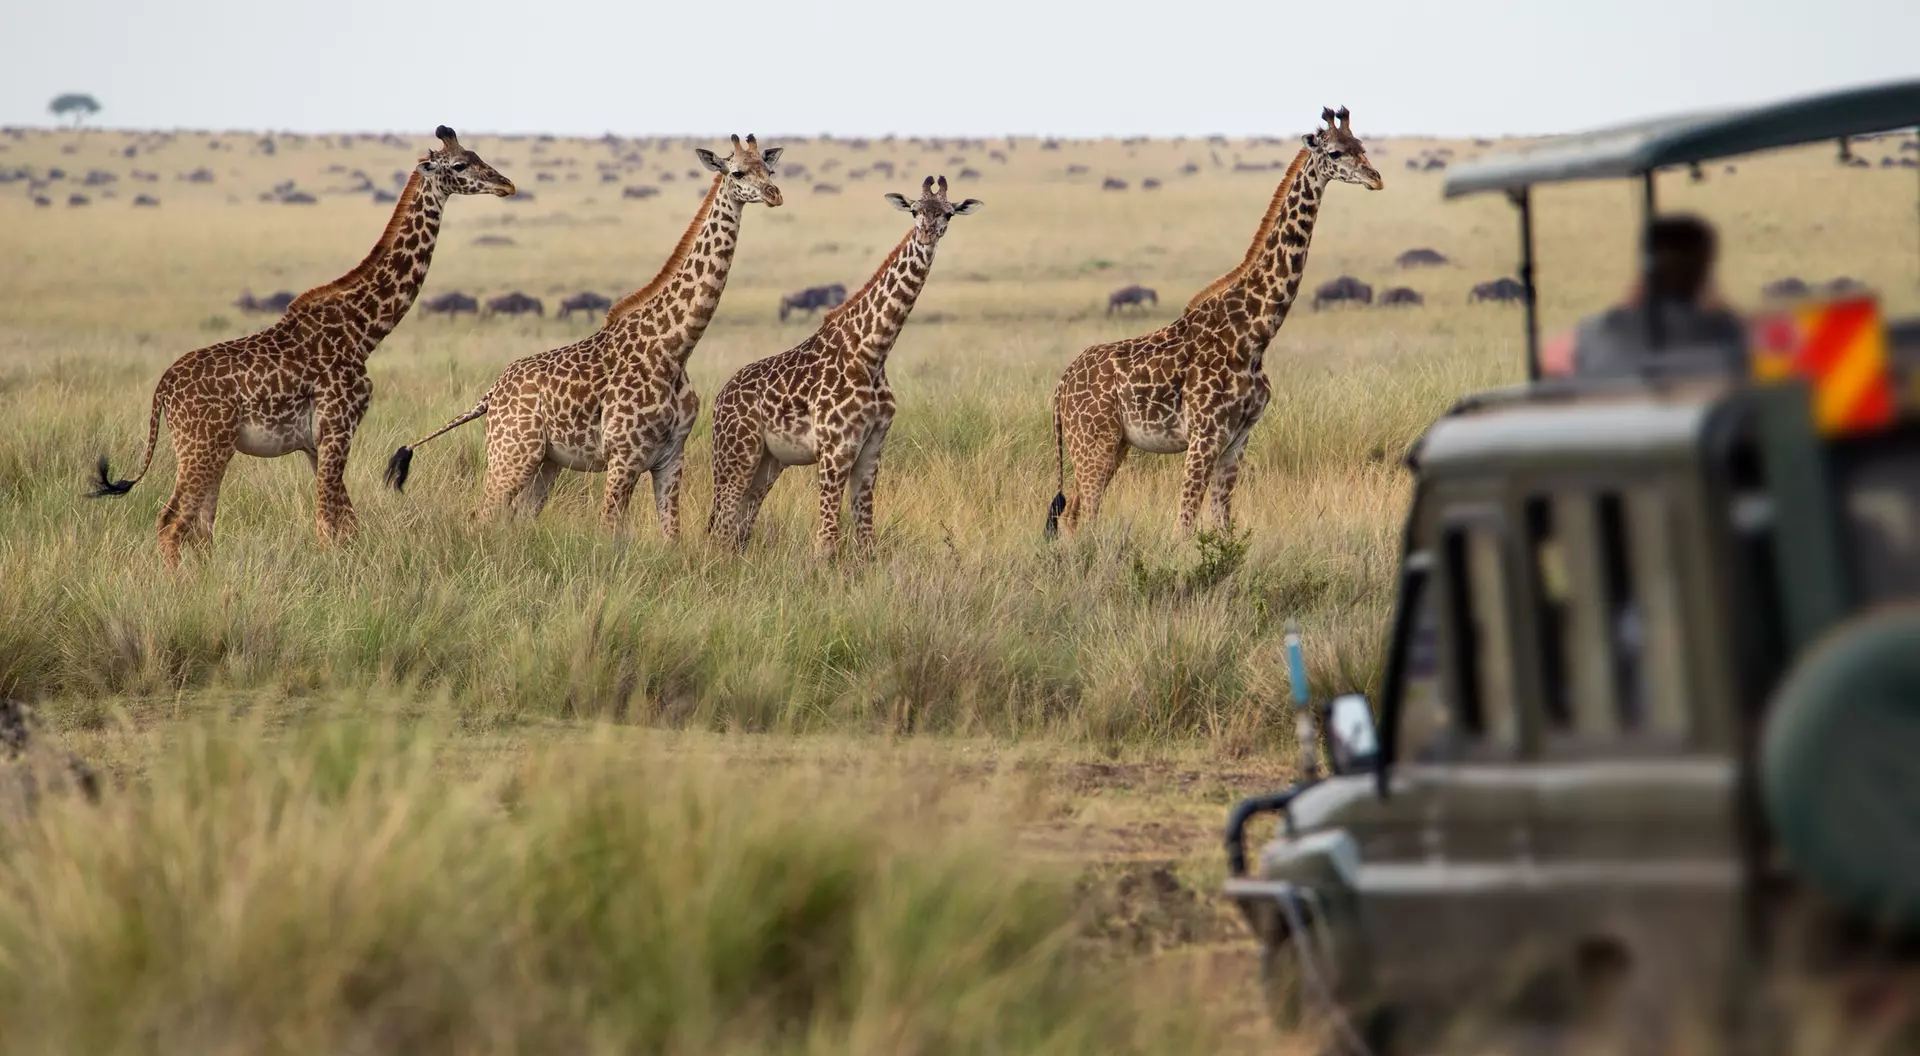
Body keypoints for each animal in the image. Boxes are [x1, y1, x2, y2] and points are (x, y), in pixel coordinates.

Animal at [90, 126, 514, 566]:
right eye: (461, 165)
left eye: (476, 156)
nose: (507, 184)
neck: (363, 331)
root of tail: (163, 389)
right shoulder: (337, 428)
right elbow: (329, 522)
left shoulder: (316, 443)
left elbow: (344, 522)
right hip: (201, 446)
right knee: (173, 522)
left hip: (212, 449)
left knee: (200, 526)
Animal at [384, 135, 783, 538]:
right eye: (737, 172)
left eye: (770, 169)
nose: (774, 194)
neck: (674, 347)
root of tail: (491, 395)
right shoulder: (623, 455)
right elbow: (610, 531)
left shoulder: (672, 455)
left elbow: (672, 534)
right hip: (512, 452)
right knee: (483, 514)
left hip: (546, 461)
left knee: (517, 517)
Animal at [707, 176, 981, 556]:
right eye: (914, 210)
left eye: (948, 213)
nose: (927, 234)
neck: (873, 351)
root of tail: (720, 399)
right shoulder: (835, 448)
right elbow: (826, 542)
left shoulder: (871, 449)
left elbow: (866, 538)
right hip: (736, 453)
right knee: (720, 526)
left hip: (768, 461)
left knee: (739, 527)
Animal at [1044, 107, 1381, 539]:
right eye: (1336, 152)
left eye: (1362, 146)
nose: (1376, 178)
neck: (1254, 334)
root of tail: (1060, 388)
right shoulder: (1204, 436)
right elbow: (1184, 525)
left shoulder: (1237, 439)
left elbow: (1222, 524)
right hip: (1093, 440)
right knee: (1082, 515)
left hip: (1113, 442)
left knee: (1073, 514)